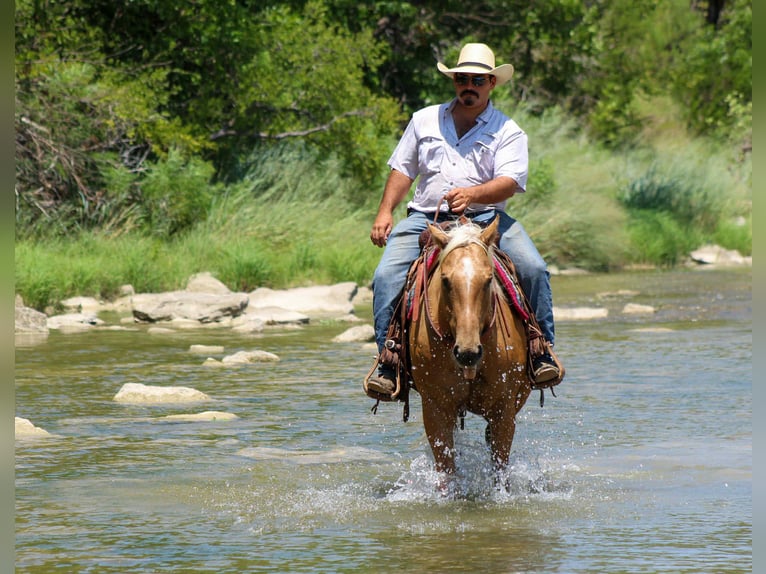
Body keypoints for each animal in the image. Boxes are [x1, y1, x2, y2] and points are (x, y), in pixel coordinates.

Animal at [407, 216, 532, 479]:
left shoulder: (504, 408)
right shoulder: (435, 407)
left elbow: (500, 469)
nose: (467, 353)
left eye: (488, 280)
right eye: (445, 280)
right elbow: (446, 471)